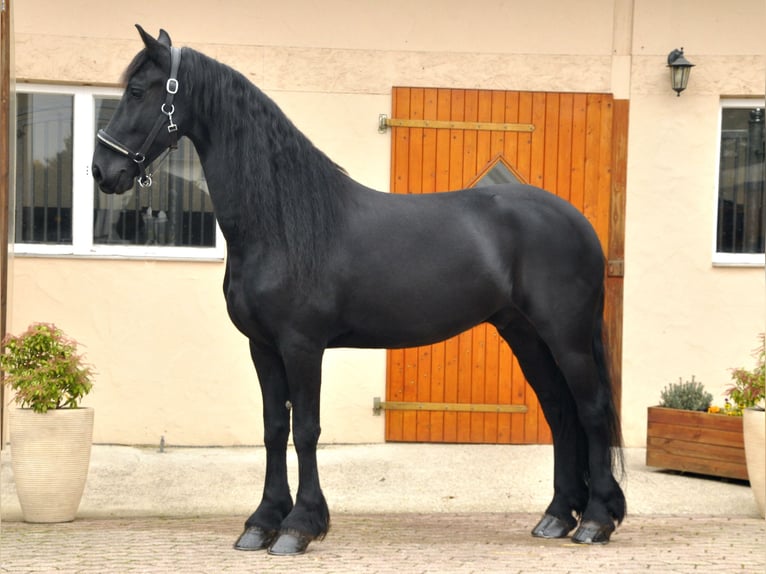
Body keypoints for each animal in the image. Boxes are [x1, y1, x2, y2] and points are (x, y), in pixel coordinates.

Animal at [92, 26, 626, 555]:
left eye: (137, 91)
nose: (101, 171)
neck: (281, 222)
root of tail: (579, 223)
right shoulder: (262, 347)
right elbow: (273, 429)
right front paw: (261, 523)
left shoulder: (302, 346)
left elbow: (306, 430)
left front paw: (299, 527)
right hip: (525, 334)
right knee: (560, 413)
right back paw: (557, 517)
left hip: (566, 337)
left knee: (591, 410)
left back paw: (596, 521)